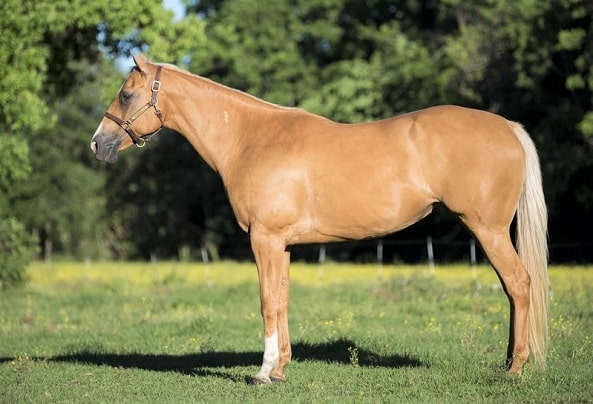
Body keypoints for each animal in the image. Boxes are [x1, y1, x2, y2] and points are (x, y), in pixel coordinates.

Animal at [90, 54, 548, 386]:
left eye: (126, 94)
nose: (97, 144)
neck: (250, 139)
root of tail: (508, 127)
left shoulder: (265, 239)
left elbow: (267, 301)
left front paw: (262, 373)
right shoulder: (283, 244)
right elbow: (283, 300)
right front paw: (280, 368)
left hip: (487, 229)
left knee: (519, 284)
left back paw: (515, 368)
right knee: (512, 290)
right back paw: (509, 362)